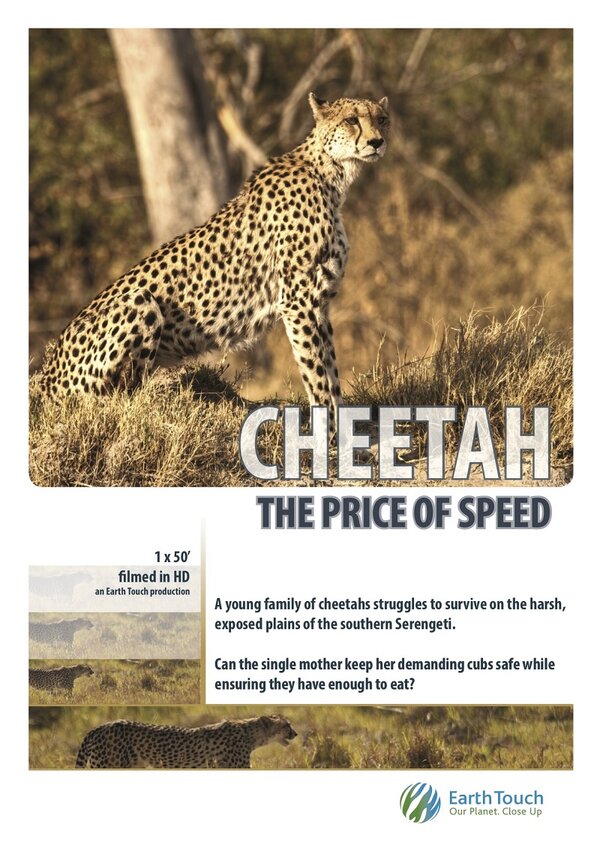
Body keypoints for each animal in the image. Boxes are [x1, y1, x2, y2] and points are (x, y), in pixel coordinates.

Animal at [40, 93, 389, 423]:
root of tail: (43, 375)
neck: (330, 174)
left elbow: (330, 371)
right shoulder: (298, 301)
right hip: (138, 301)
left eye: (382, 119)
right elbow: (316, 373)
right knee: (116, 401)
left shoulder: (320, 302)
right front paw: (327, 432)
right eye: (352, 120)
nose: (377, 141)